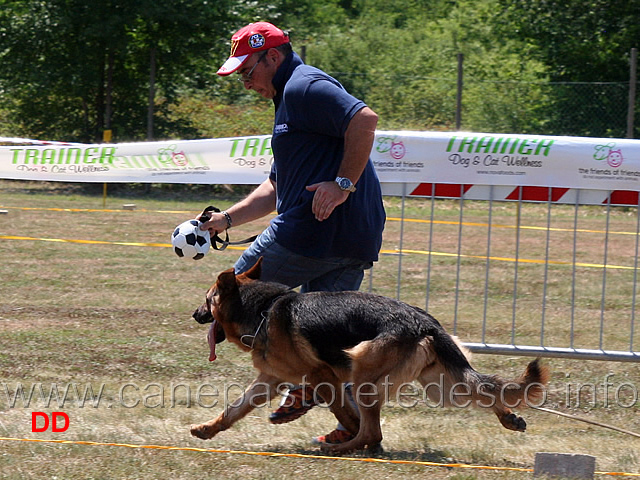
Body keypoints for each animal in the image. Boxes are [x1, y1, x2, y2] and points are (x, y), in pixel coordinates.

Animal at [190, 260, 552, 452]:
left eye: (207, 300)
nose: (194, 314)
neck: (263, 310)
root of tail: (426, 323)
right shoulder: (269, 379)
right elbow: (233, 410)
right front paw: (207, 429)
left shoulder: (324, 379)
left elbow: (348, 415)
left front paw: (349, 437)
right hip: (441, 385)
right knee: (483, 390)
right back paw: (509, 418)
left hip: (363, 369)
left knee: (371, 429)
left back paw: (340, 448)